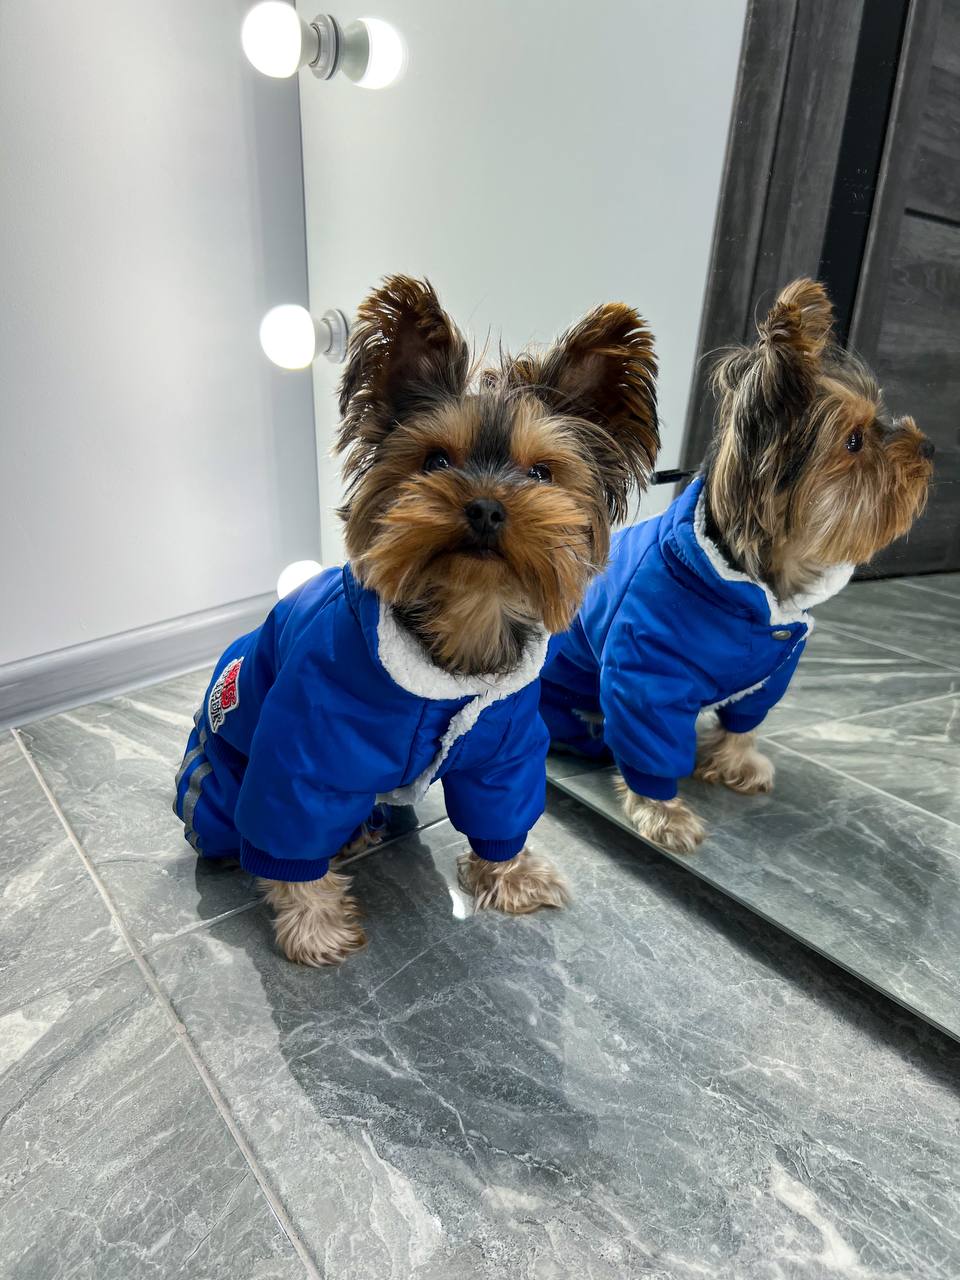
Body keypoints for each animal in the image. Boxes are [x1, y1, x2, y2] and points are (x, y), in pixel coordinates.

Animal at [172, 277, 660, 962]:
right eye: (435, 461)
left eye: (541, 473)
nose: (485, 507)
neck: (459, 628)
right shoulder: (304, 742)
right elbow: (289, 829)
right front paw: (316, 926)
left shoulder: (505, 748)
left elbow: (502, 809)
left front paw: (511, 876)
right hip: (217, 783)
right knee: (226, 824)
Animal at [545, 279, 936, 855]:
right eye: (855, 440)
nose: (929, 446)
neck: (751, 585)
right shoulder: (647, 676)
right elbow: (649, 740)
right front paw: (664, 813)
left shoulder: (771, 672)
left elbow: (744, 719)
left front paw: (736, 762)